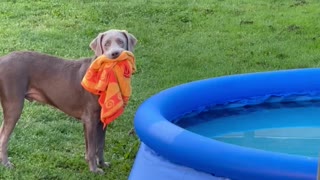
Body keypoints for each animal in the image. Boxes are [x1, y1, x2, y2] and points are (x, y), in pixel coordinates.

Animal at [0, 29, 136, 173]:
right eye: (106, 44)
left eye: (121, 42)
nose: (115, 53)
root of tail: (2, 59)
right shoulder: (90, 119)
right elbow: (92, 148)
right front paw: (94, 170)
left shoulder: (99, 120)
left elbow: (99, 145)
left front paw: (102, 164)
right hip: (14, 105)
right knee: (3, 137)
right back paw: (6, 164)